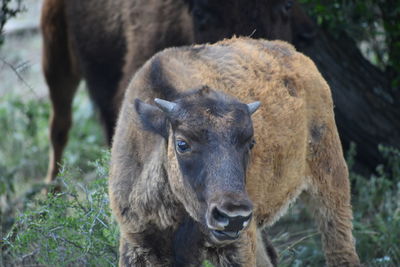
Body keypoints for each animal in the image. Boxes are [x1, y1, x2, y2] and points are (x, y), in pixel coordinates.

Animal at [108, 38, 360, 267]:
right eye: (182, 144)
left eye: (250, 143)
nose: (233, 216)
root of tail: (299, 58)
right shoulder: (136, 241)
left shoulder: (236, 246)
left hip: (330, 184)